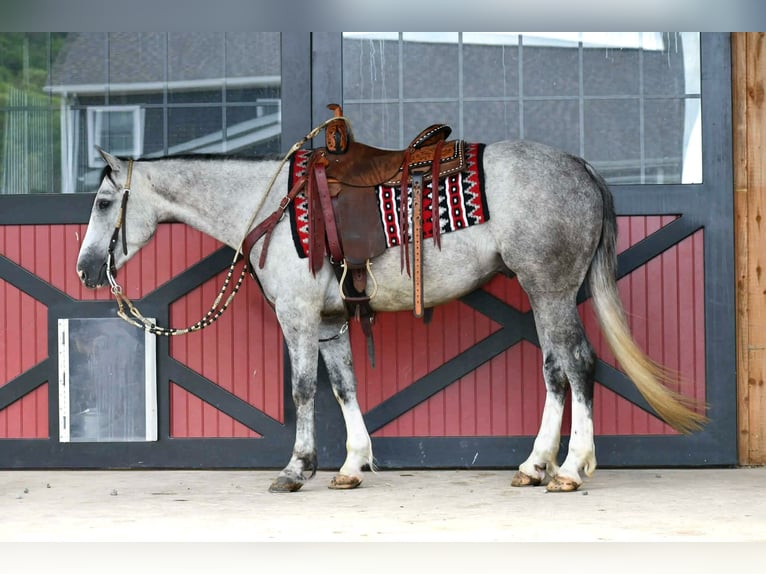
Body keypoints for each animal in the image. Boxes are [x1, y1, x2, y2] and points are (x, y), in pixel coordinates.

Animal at [76, 137, 706, 493]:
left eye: (104, 202)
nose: (84, 270)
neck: (274, 207)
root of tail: (579, 167)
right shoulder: (330, 321)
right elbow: (344, 386)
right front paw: (352, 465)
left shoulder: (298, 316)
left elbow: (303, 389)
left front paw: (296, 468)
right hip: (544, 293)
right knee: (555, 369)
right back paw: (535, 466)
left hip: (549, 288)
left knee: (577, 364)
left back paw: (572, 470)